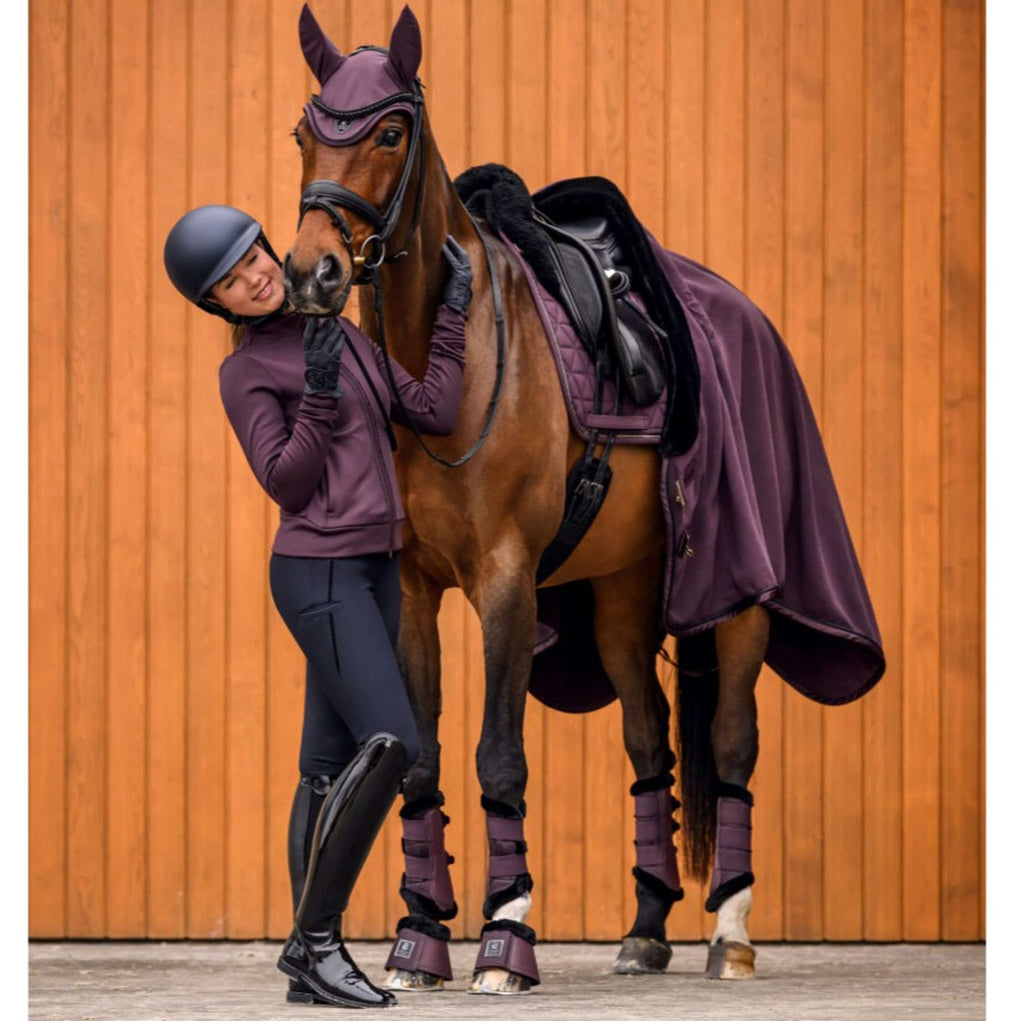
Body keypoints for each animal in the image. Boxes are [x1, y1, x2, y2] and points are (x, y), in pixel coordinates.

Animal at [281, 3, 882, 994]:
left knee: (730, 743)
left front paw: (505, 937)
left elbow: (498, 754)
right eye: (305, 133)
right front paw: (418, 939)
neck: (451, 364)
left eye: (390, 131)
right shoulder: (413, 588)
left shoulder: (506, 583)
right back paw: (644, 931)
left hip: (742, 600)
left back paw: (729, 934)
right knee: (649, 746)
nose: (313, 273)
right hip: (622, 596)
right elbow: (419, 758)